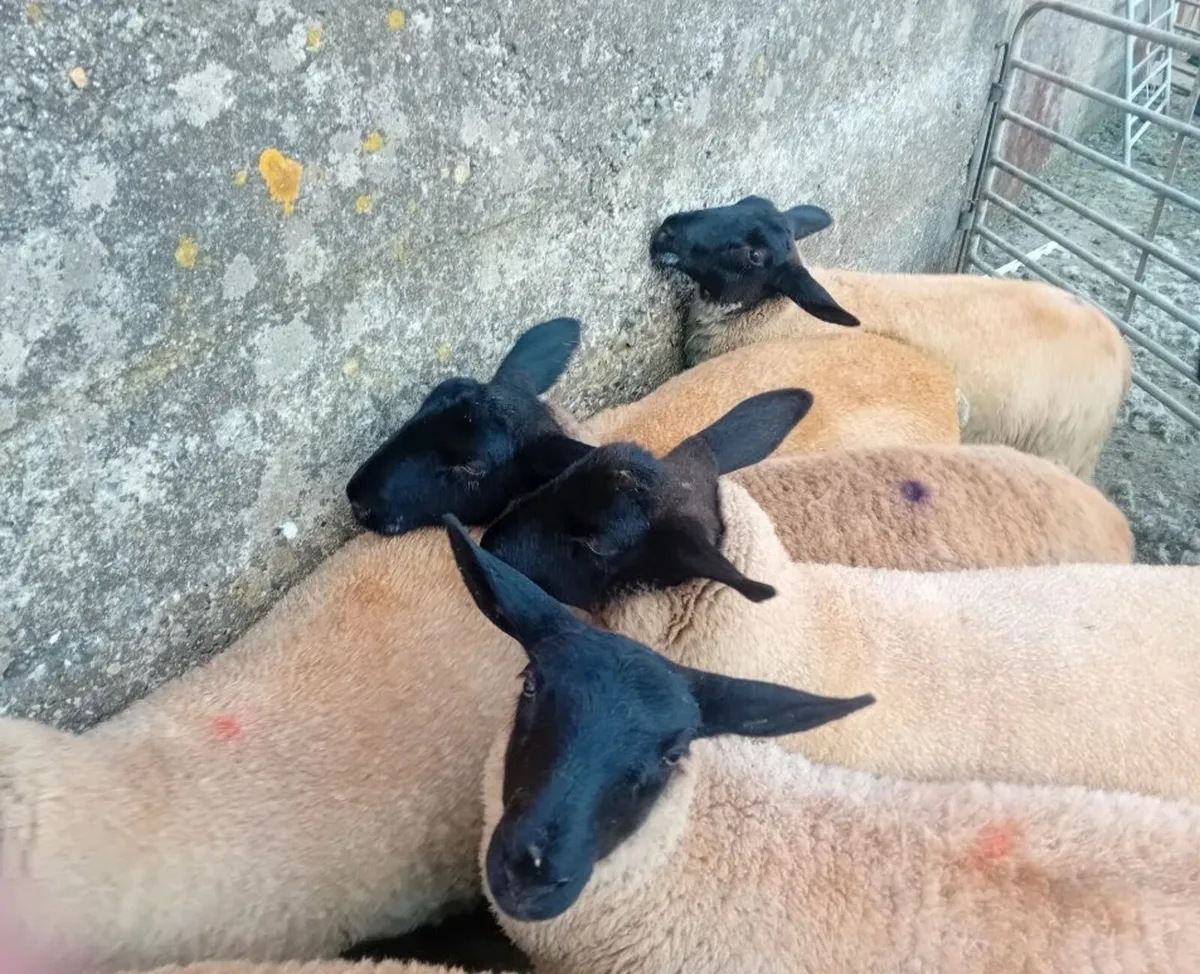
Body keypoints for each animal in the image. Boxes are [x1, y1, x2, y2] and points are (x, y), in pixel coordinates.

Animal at [650, 194, 1133, 481]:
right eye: (747, 200)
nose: (666, 229)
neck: (775, 314)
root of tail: (1120, 348)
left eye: (753, 255)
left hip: (1061, 452)